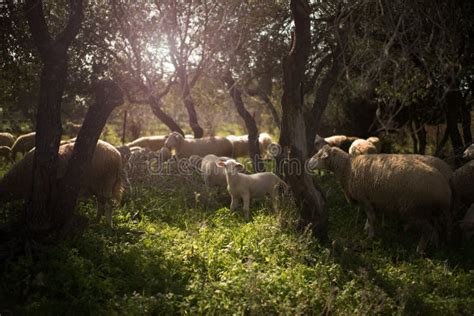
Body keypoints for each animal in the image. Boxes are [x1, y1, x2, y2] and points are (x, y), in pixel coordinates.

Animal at [308, 146, 452, 254]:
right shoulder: (374, 199)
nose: (308, 164)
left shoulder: (365, 197)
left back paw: (420, 250)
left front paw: (370, 236)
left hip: (417, 209)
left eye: (319, 155)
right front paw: (369, 229)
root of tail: (445, 187)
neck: (348, 168)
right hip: (433, 211)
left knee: (428, 229)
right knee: (437, 227)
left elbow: (371, 217)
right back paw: (436, 246)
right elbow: (372, 217)